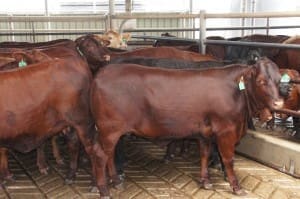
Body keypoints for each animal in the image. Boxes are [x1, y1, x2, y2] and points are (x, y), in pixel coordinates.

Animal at [91, 56, 284, 197]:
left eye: (278, 80)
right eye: (261, 81)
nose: (279, 103)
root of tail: (103, 72)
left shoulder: (205, 133)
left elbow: (204, 155)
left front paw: (206, 181)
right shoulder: (226, 132)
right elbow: (228, 160)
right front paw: (236, 187)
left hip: (111, 132)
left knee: (109, 155)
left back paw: (116, 181)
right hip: (109, 129)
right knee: (100, 155)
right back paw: (104, 190)